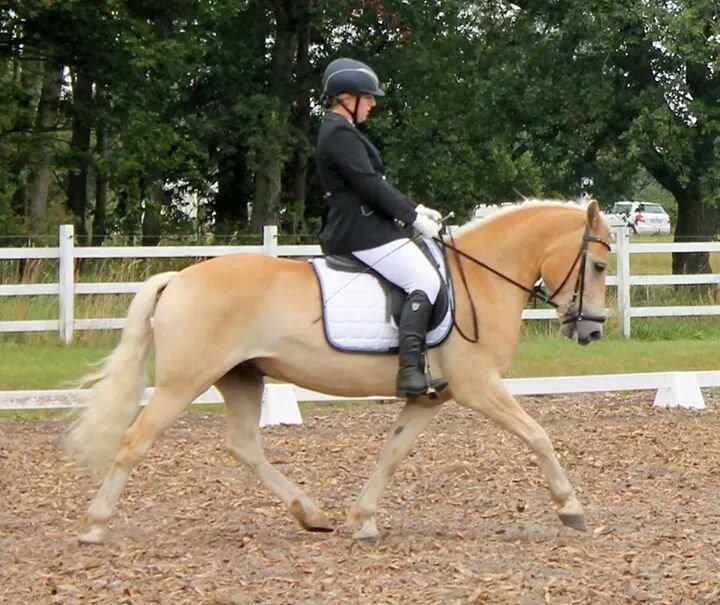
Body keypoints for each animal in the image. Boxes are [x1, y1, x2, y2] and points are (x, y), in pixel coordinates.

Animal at [67, 198, 612, 544]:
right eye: (601, 266)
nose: (592, 331)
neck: (478, 278)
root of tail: (179, 276)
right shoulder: (479, 387)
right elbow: (537, 434)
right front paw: (571, 507)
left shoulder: (430, 396)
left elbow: (393, 452)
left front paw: (363, 519)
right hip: (184, 381)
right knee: (135, 441)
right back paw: (94, 525)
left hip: (242, 376)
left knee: (244, 445)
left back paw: (311, 515)